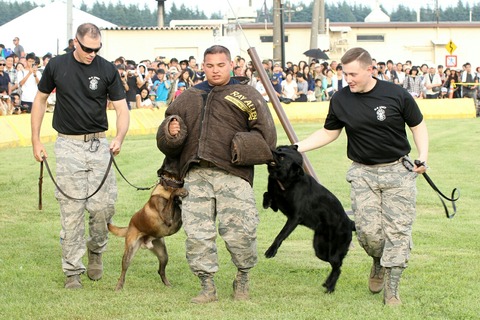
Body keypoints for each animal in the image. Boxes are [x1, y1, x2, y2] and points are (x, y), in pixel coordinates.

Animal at [264, 145, 354, 292]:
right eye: (280, 149)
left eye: (281, 157)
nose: (270, 149)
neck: (289, 181)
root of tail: (351, 223)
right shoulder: (277, 201)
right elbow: (267, 194)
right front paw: (266, 202)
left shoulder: (294, 218)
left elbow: (280, 235)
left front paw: (271, 251)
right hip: (320, 251)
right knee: (335, 265)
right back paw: (327, 284)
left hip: (334, 252)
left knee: (338, 268)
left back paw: (330, 288)